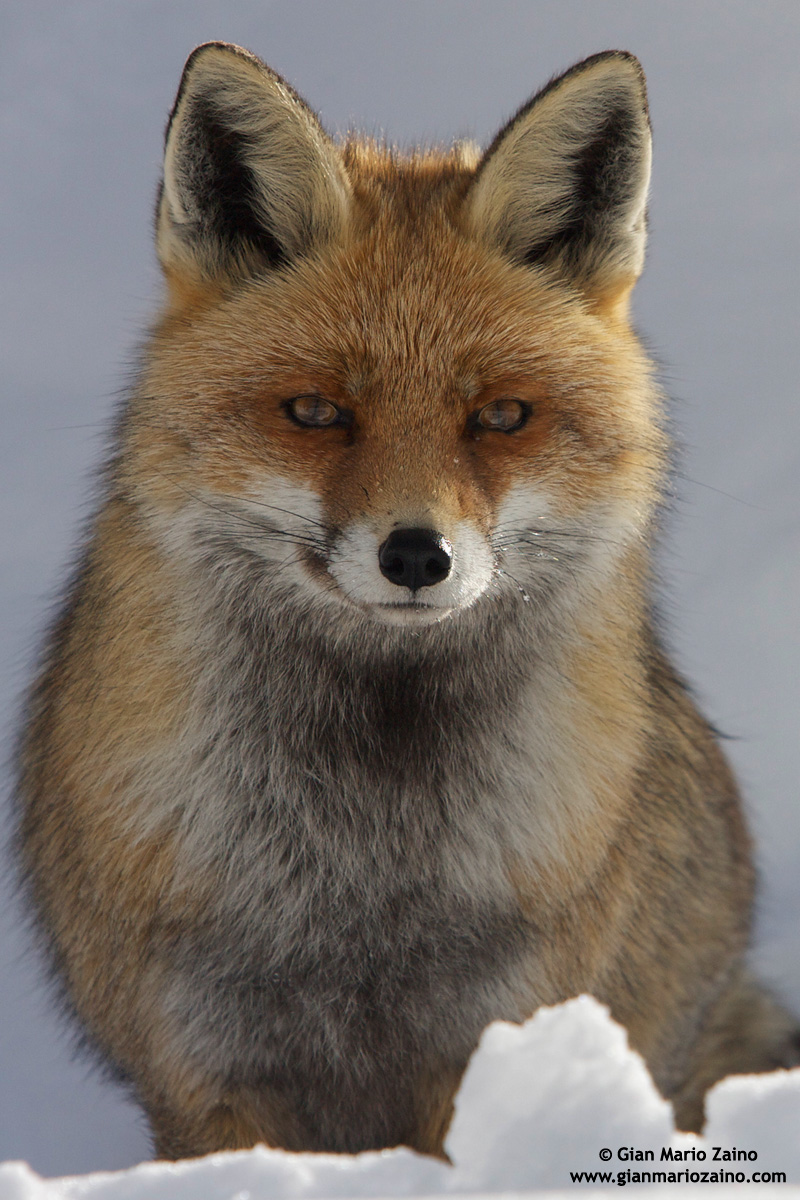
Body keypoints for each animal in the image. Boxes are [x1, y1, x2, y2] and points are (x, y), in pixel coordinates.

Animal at [15, 42, 799, 1161]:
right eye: (315, 412)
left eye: (501, 417)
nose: (417, 555)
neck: (362, 869)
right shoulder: (205, 1075)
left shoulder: (492, 1037)